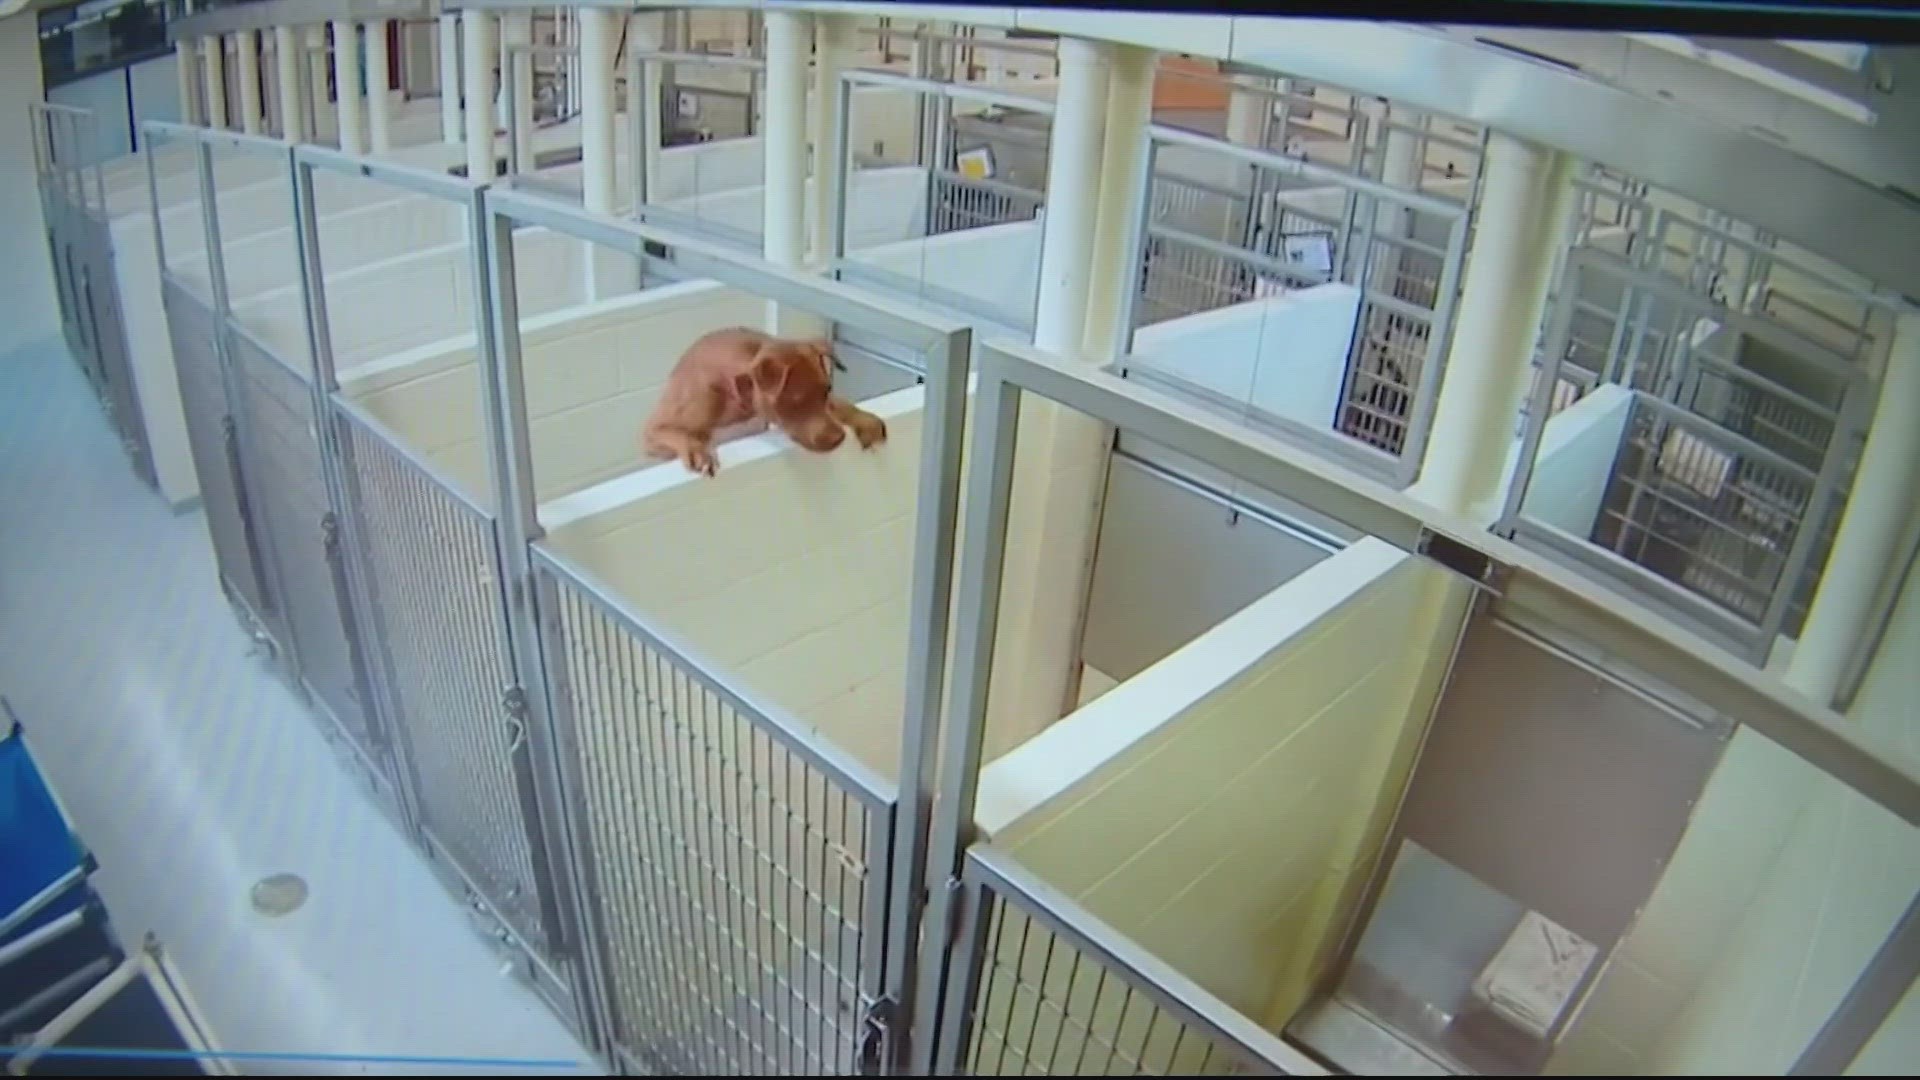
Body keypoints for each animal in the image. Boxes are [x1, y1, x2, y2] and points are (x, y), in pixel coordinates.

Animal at [641, 326, 887, 476]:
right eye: (796, 401)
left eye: (827, 391)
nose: (839, 438)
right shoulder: (653, 434)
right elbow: (680, 434)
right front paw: (698, 451)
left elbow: (840, 405)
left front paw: (864, 420)